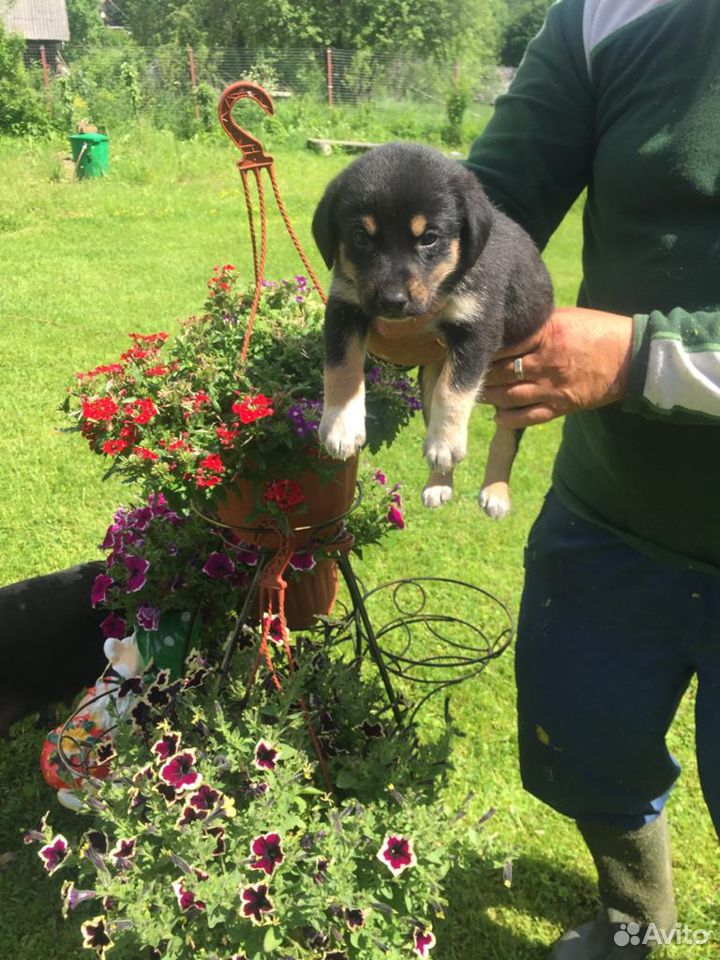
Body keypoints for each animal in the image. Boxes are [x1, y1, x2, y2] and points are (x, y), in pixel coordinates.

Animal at [312, 142, 556, 512]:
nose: (392, 301)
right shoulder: (344, 308)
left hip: (521, 386)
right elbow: (341, 370)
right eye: (360, 238)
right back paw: (439, 483)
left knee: (506, 434)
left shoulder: (479, 328)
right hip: (429, 375)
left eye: (429, 238)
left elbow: (453, 390)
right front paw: (341, 425)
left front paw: (446, 442)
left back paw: (495, 491)